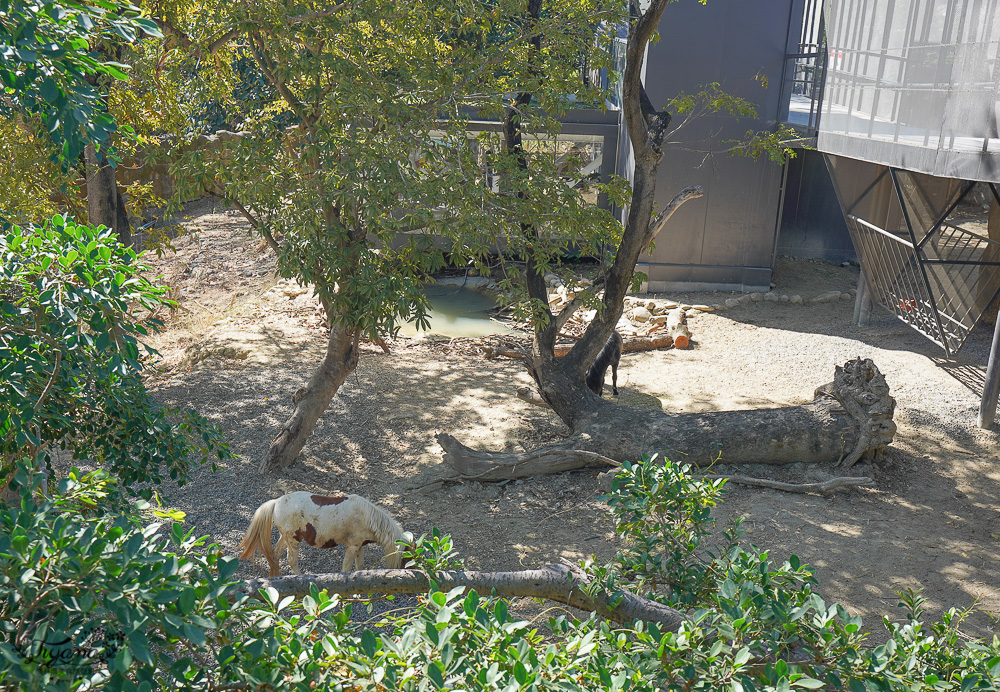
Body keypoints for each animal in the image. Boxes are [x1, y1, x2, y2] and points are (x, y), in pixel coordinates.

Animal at [237, 492, 406, 580]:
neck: (367, 517)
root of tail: (276, 501)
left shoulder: (359, 546)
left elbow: (359, 566)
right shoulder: (352, 546)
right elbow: (346, 568)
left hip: (285, 538)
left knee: (275, 554)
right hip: (293, 540)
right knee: (291, 560)